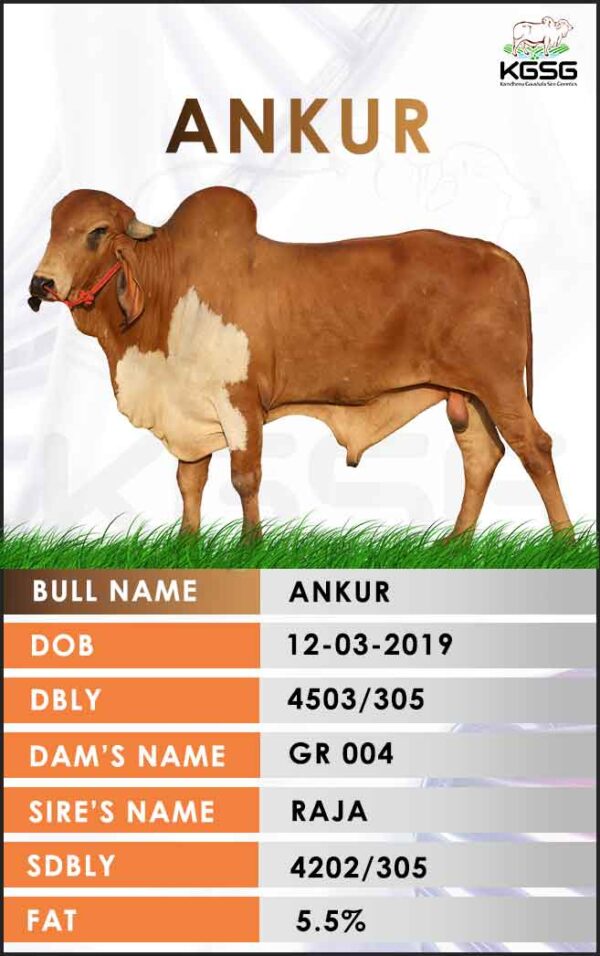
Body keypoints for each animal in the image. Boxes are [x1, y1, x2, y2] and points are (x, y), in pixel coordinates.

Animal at [29, 187, 573, 538]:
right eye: (52, 228)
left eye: (97, 232)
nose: (42, 284)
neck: (167, 294)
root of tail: (498, 253)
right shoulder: (188, 409)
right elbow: (189, 481)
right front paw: (186, 544)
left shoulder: (241, 403)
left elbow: (244, 478)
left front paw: (250, 547)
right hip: (468, 396)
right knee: (482, 455)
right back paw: (455, 543)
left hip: (499, 385)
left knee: (534, 447)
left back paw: (563, 540)